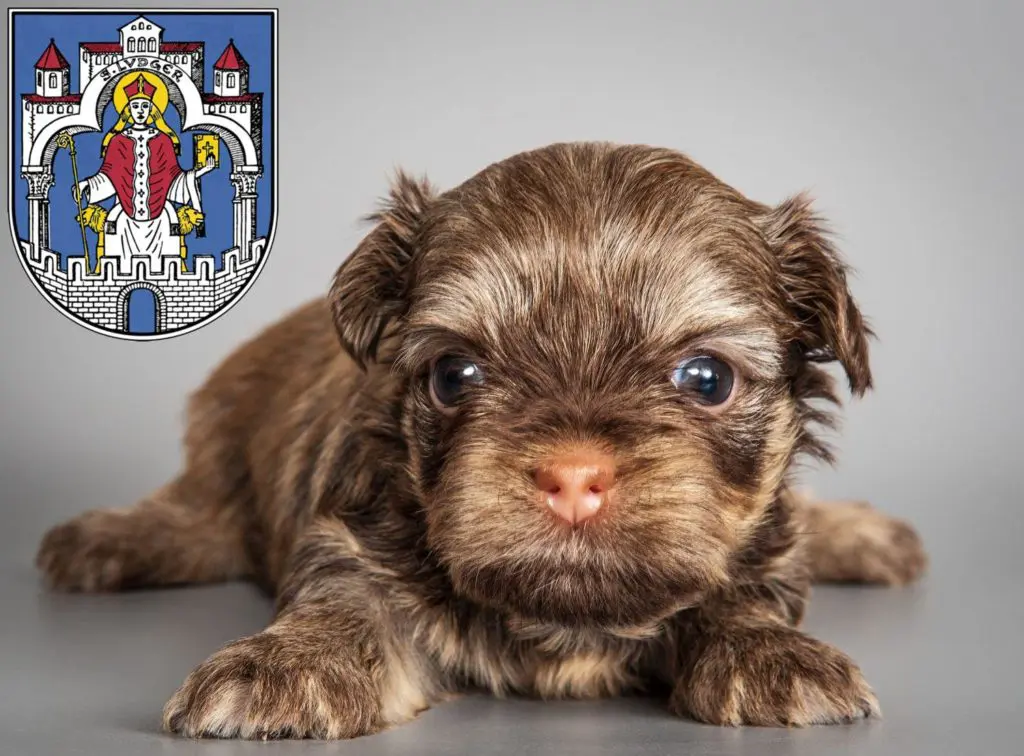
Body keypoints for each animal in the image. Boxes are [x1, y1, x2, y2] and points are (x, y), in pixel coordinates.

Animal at [36, 141, 925, 737]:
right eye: (454, 374)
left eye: (706, 379)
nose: (574, 475)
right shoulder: (354, 543)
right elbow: (344, 603)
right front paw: (285, 664)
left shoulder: (758, 545)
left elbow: (747, 586)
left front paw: (769, 651)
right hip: (221, 446)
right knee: (201, 514)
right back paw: (109, 539)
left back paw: (866, 535)